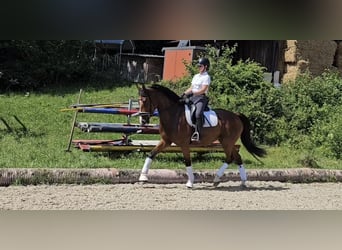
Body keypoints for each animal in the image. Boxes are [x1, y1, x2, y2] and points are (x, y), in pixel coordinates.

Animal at [138, 84, 266, 188]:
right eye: (138, 101)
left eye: (145, 100)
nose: (142, 120)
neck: (174, 114)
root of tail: (236, 115)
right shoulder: (166, 141)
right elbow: (151, 154)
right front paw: (143, 178)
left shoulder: (184, 144)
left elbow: (187, 161)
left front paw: (190, 183)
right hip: (227, 142)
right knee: (237, 158)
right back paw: (241, 181)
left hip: (227, 142)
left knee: (230, 158)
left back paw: (217, 179)